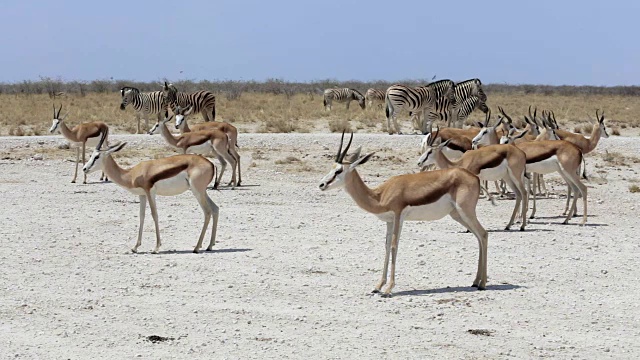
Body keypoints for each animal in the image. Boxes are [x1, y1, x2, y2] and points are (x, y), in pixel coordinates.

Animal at [82, 141, 220, 253]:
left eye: (97, 156)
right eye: (91, 155)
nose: (84, 168)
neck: (131, 174)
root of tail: (211, 164)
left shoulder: (150, 192)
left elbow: (154, 215)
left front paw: (156, 247)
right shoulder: (142, 195)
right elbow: (141, 216)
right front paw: (135, 247)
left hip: (197, 192)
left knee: (207, 212)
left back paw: (196, 247)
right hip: (202, 192)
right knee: (215, 209)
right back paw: (209, 246)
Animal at [318, 132, 488, 296]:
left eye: (339, 170)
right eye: (332, 167)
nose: (322, 184)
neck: (380, 196)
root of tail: (474, 177)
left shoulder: (399, 216)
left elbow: (394, 246)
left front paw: (388, 289)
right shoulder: (390, 221)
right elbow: (387, 246)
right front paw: (378, 286)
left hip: (465, 211)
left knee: (483, 234)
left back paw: (483, 284)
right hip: (457, 215)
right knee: (478, 237)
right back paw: (475, 281)